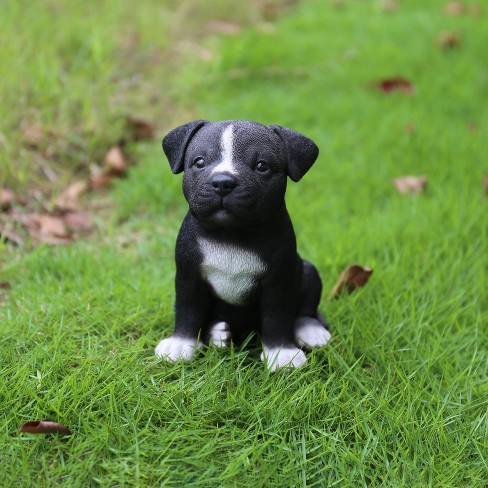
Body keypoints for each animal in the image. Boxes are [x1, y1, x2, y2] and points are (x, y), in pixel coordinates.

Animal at [156, 120, 332, 372]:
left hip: (308, 270)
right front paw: (181, 344)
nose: (222, 182)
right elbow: (187, 309)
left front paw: (282, 353)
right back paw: (219, 333)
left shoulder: (279, 281)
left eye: (261, 166)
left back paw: (311, 330)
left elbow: (277, 316)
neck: (231, 234)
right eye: (199, 162)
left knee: (305, 310)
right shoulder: (189, 276)